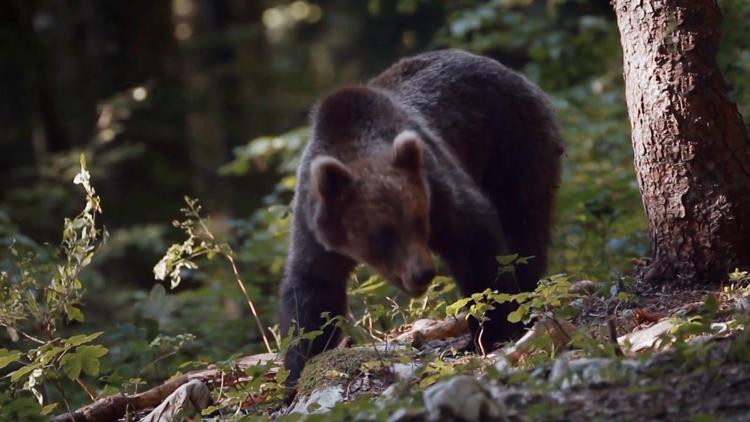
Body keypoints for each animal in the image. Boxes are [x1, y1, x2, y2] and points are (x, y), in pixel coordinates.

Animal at [280, 48, 564, 386]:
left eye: (418, 220)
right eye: (382, 234)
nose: (422, 273)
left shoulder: (436, 185)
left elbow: (477, 245)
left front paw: (493, 330)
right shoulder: (315, 227)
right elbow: (312, 294)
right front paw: (296, 371)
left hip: (515, 145)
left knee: (524, 227)